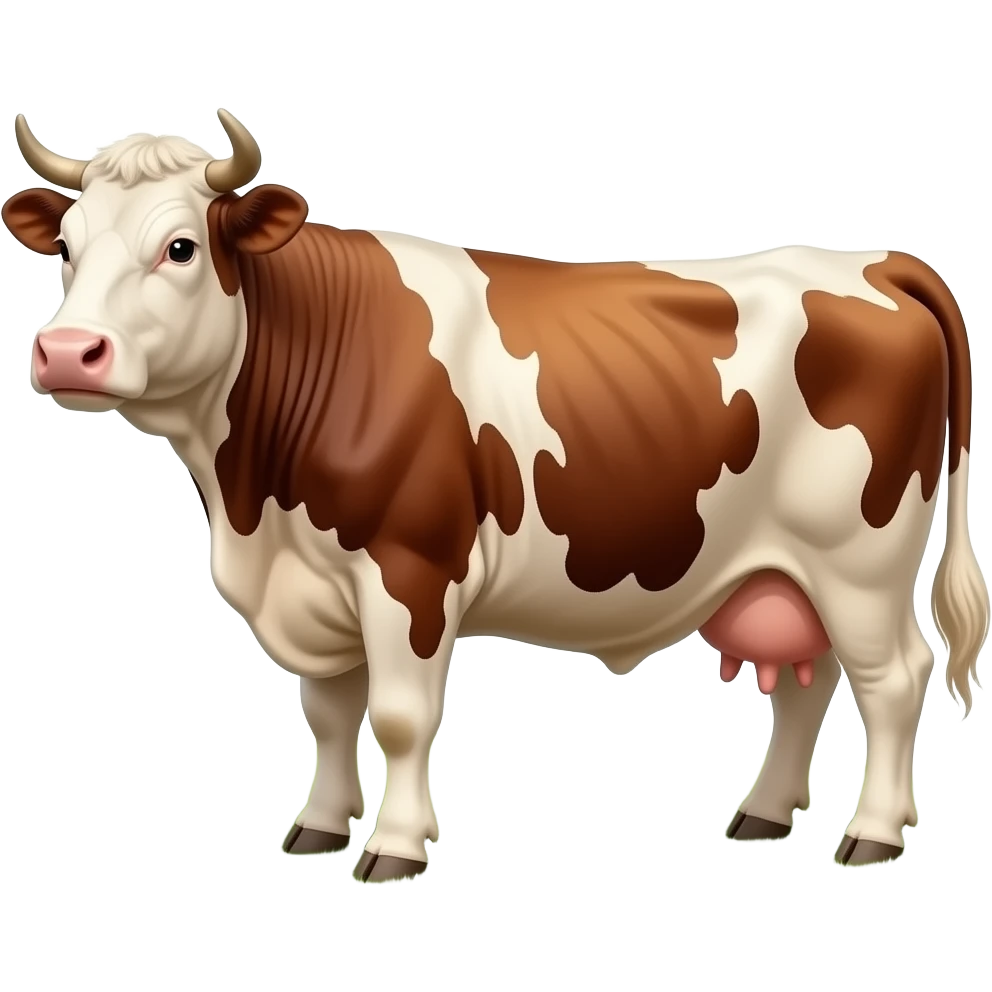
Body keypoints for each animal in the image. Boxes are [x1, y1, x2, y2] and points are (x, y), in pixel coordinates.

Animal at [4, 112, 988, 882]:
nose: (67, 351)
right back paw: (765, 814)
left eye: (179, 247)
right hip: (789, 569)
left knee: (894, 680)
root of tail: (878, 262)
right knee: (808, 686)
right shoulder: (311, 581)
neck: (254, 503)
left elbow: (401, 719)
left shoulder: (410, 567)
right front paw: (319, 827)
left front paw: (394, 847)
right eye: (67, 250)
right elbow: (328, 714)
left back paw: (872, 835)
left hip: (861, 561)